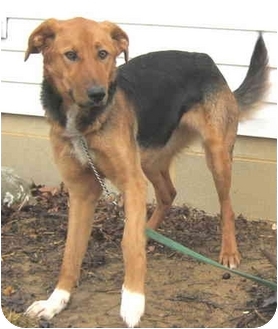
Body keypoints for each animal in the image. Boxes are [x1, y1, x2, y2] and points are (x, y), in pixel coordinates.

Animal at [24, 17, 270, 326]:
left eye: (103, 54)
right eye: (70, 55)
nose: (98, 95)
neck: (83, 124)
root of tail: (206, 60)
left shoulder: (130, 182)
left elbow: (129, 246)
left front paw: (132, 302)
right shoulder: (81, 192)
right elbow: (71, 252)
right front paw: (56, 301)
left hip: (216, 156)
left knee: (226, 207)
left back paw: (228, 251)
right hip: (149, 158)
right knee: (167, 193)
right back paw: (148, 231)